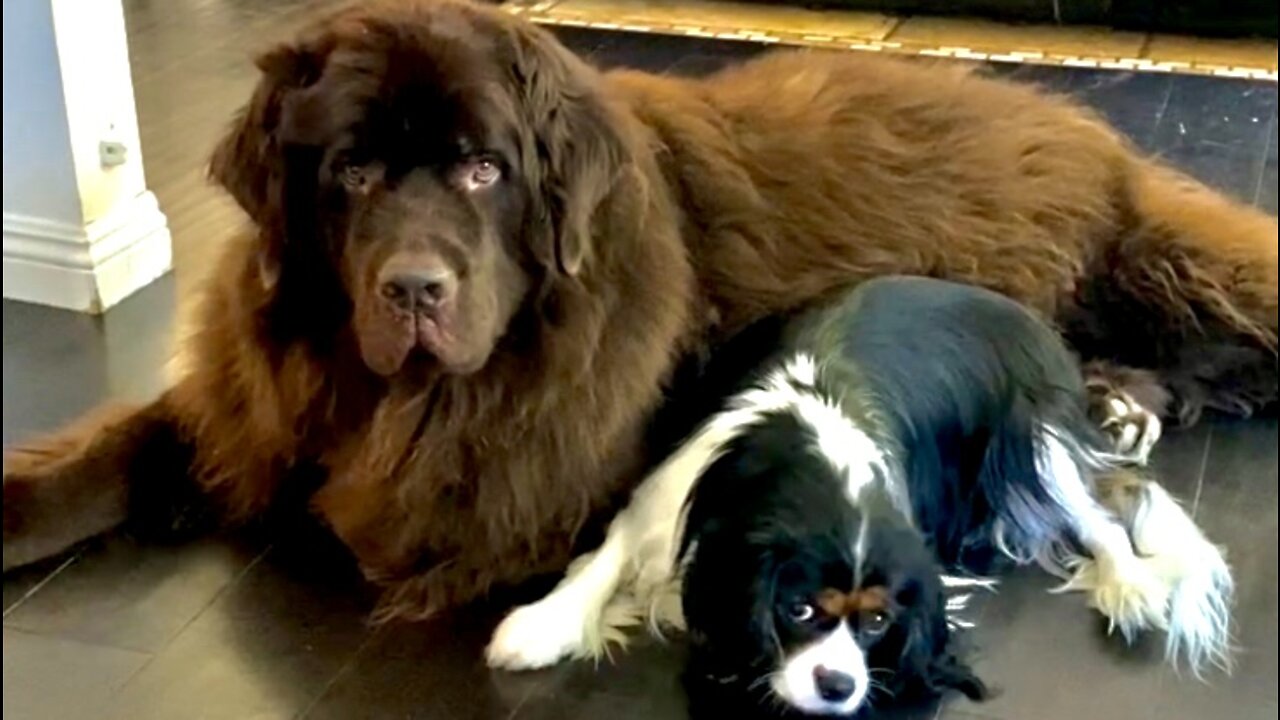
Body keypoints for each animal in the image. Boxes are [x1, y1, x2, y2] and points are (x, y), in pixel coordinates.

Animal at [2, 0, 1280, 622]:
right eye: (351, 173)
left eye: (481, 170)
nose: (412, 289)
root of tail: (1075, 125)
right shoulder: (251, 401)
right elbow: (124, 449)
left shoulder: (498, 489)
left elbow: (368, 511)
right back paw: (1121, 402)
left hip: (1156, 255)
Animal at [483, 274, 1233, 712]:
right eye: (797, 610)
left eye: (876, 623)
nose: (838, 685)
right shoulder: (672, 485)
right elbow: (610, 553)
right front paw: (542, 623)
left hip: (1033, 441)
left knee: (1099, 516)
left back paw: (1131, 585)